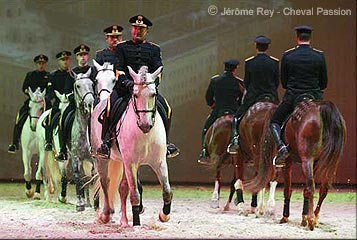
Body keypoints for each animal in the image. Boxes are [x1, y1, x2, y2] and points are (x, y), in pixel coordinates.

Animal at [93, 64, 172, 226]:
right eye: (135, 95)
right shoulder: (131, 163)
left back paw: (123, 220)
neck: (146, 134)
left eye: (153, 94)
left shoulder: (159, 162)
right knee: (106, 182)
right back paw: (106, 215)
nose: (145, 125)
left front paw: (164, 215)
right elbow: (134, 193)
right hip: (101, 159)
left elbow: (167, 191)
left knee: (122, 187)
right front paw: (136, 223)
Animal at [246, 100, 344, 231]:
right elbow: (303, 190)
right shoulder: (312, 163)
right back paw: (315, 217)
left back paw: (311, 220)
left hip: (307, 160)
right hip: (330, 163)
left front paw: (286, 217)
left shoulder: (288, 162)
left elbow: (288, 189)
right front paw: (303, 218)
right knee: (323, 190)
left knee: (311, 187)